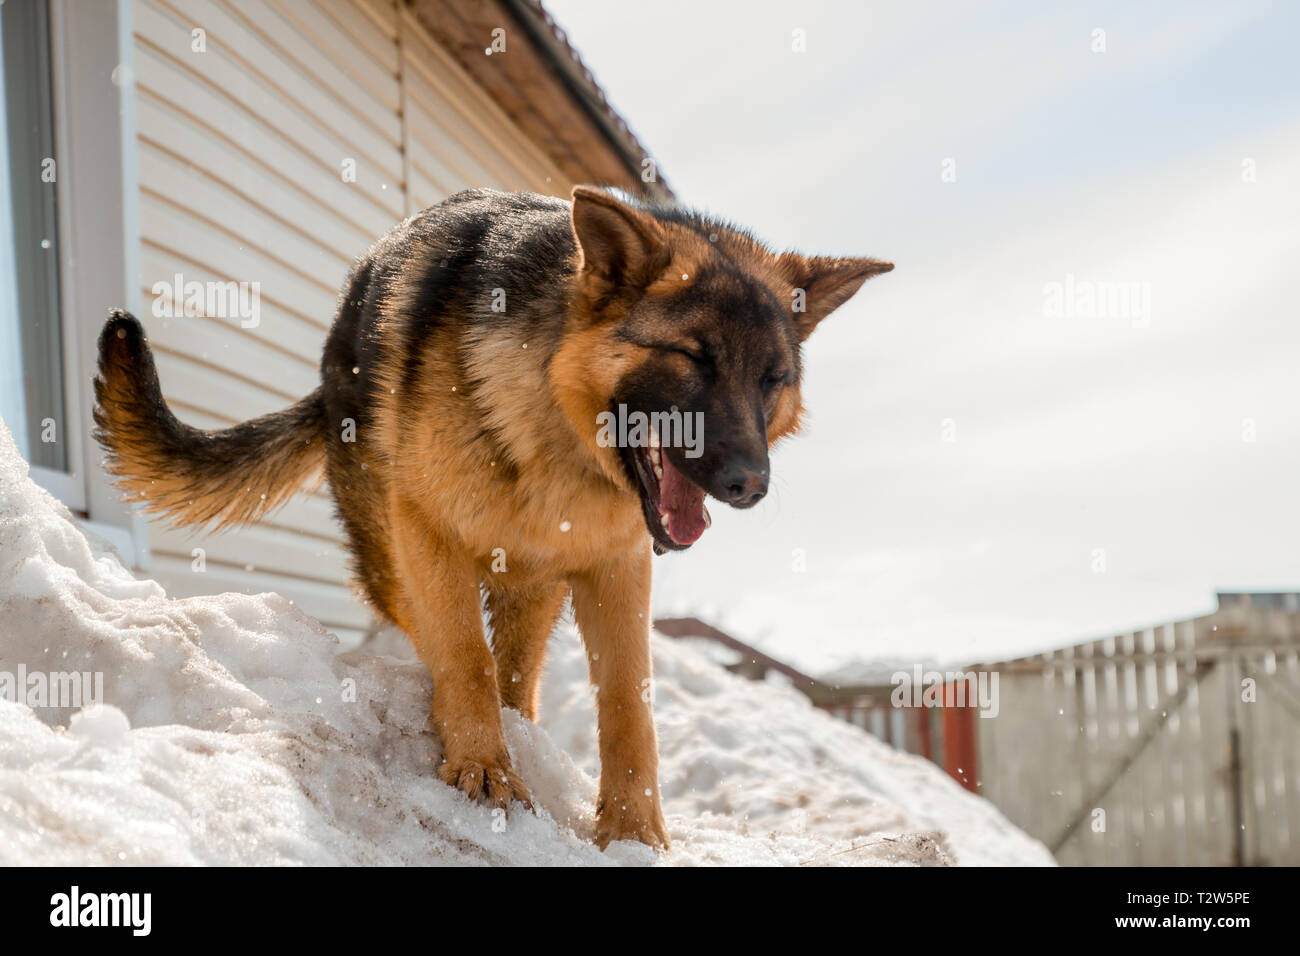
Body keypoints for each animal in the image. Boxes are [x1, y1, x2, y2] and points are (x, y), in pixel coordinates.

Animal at [94, 184, 894, 842]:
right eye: (692, 357)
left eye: (773, 379)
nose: (748, 484)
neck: (556, 431)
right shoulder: (428, 534)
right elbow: (463, 657)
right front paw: (482, 768)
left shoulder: (617, 569)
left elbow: (628, 710)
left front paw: (633, 832)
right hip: (394, 556)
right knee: (442, 640)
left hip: (535, 587)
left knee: (519, 676)